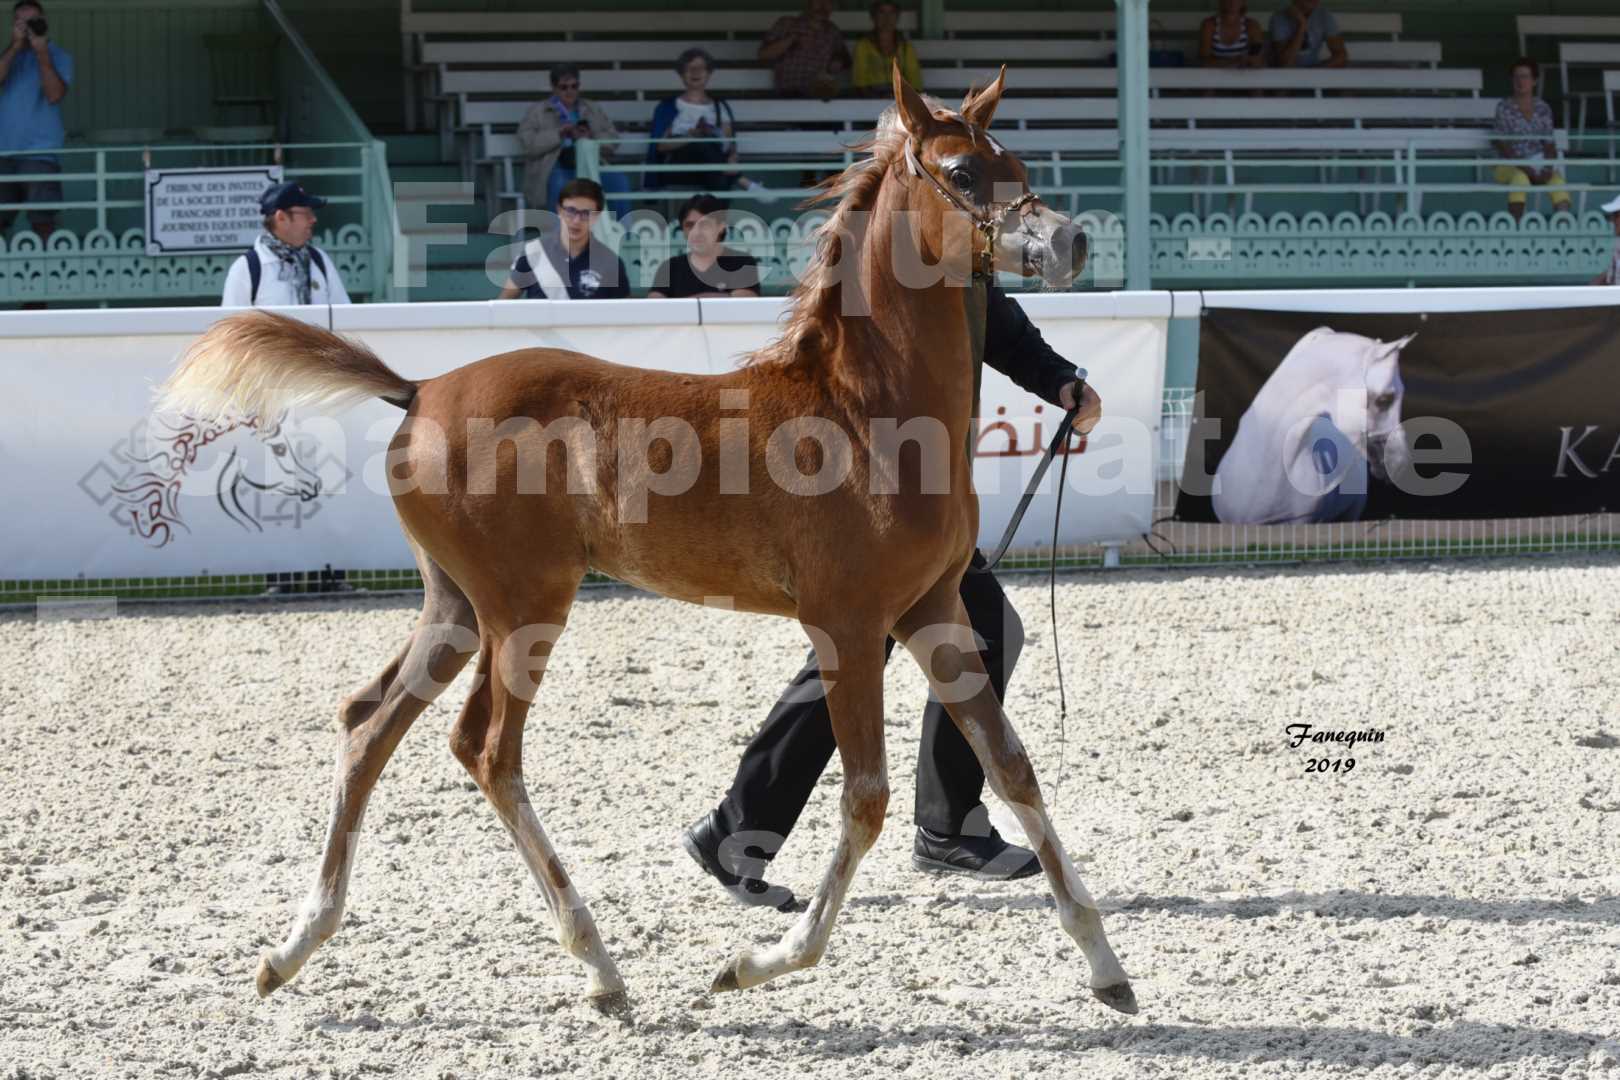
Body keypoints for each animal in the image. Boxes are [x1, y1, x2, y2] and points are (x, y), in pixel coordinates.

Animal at [157, 69, 1134, 1023]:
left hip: (457, 608)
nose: (1072, 240)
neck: (867, 412)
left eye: (1014, 162)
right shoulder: (850, 626)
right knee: (487, 750)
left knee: (368, 726)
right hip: (525, 608)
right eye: (965, 173)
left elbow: (1011, 766)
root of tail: (420, 388)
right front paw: (755, 964)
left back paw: (293, 950)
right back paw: (599, 968)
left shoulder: (932, 610)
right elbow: (865, 799)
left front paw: (1107, 967)